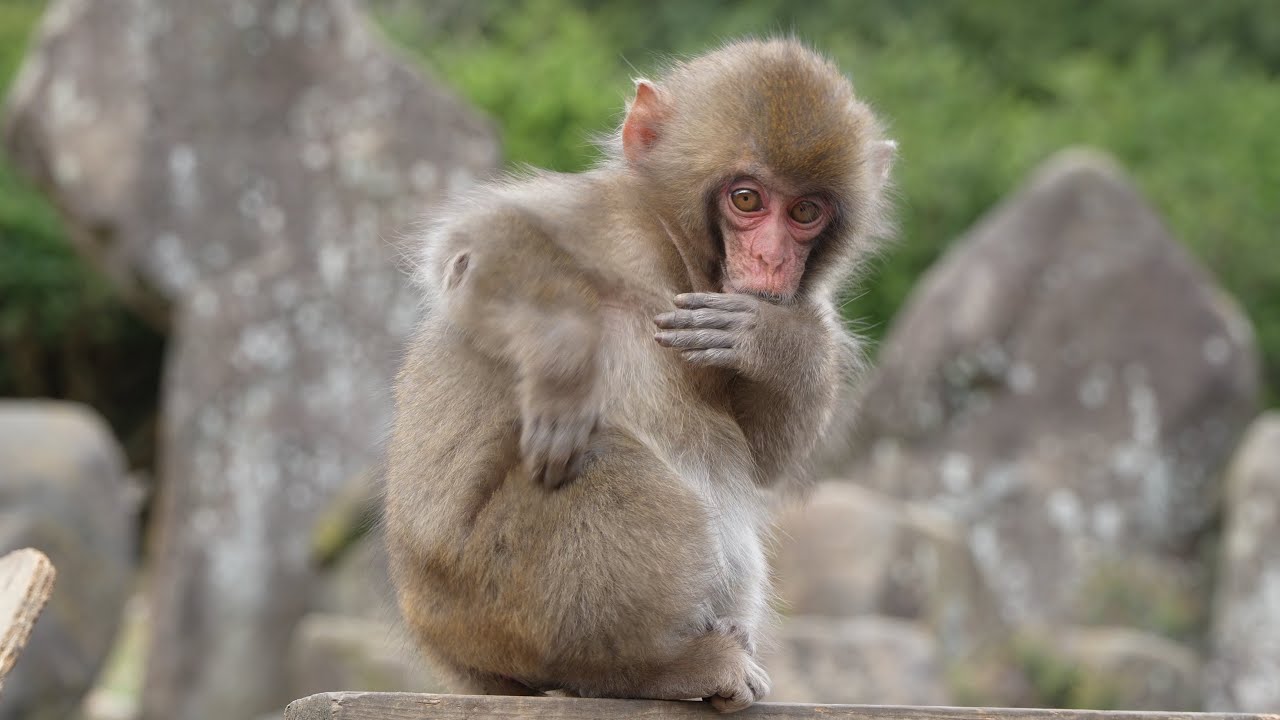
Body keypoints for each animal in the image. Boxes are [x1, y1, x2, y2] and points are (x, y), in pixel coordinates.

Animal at [383, 38, 895, 712]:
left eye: (806, 211)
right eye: (747, 199)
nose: (771, 260)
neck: (675, 256)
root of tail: (456, 661)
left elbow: (767, 454)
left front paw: (773, 341)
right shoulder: (610, 218)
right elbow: (478, 249)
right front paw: (564, 376)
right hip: (487, 604)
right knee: (603, 462)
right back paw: (650, 667)